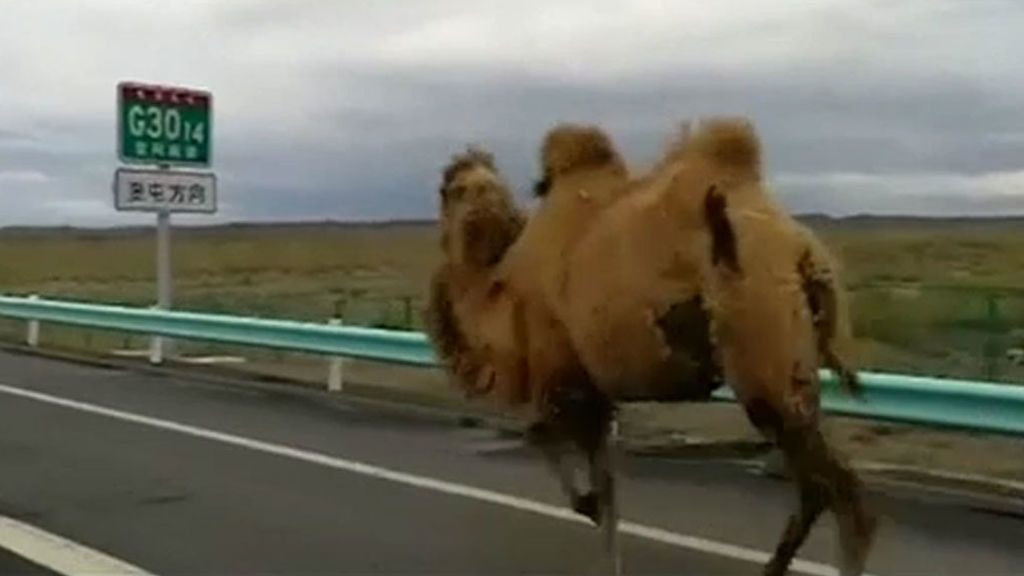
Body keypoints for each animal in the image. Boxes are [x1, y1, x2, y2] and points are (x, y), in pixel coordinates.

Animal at [421, 117, 872, 573]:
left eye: (446, 189)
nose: (461, 207)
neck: (500, 285)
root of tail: (803, 249)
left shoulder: (562, 377)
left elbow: (543, 438)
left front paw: (587, 505)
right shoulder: (596, 393)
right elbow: (607, 486)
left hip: (762, 355)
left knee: (838, 490)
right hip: (794, 361)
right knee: (823, 486)